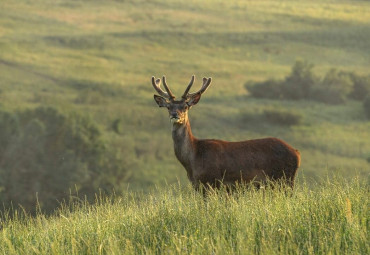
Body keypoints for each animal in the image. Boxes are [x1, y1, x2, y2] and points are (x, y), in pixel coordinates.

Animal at [151, 74, 300, 190]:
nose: (175, 115)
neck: (193, 160)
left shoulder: (214, 181)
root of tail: (297, 153)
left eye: (186, 106)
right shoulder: (197, 185)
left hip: (284, 178)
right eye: (168, 107)